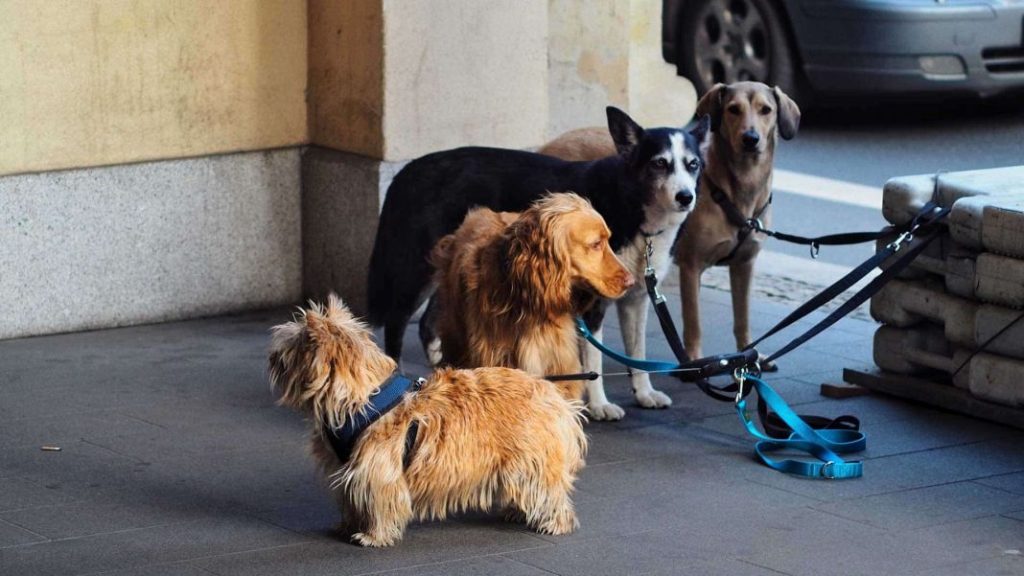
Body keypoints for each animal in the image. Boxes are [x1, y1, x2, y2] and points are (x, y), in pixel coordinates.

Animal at [268, 293, 589, 545]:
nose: (271, 356)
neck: (364, 398)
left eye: (289, 345)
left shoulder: (377, 470)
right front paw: (347, 526)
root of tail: (556, 398)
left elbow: (377, 502)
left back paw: (554, 523)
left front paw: (373, 535)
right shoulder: (347, 468)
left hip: (532, 461)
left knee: (547, 492)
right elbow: (351, 500)